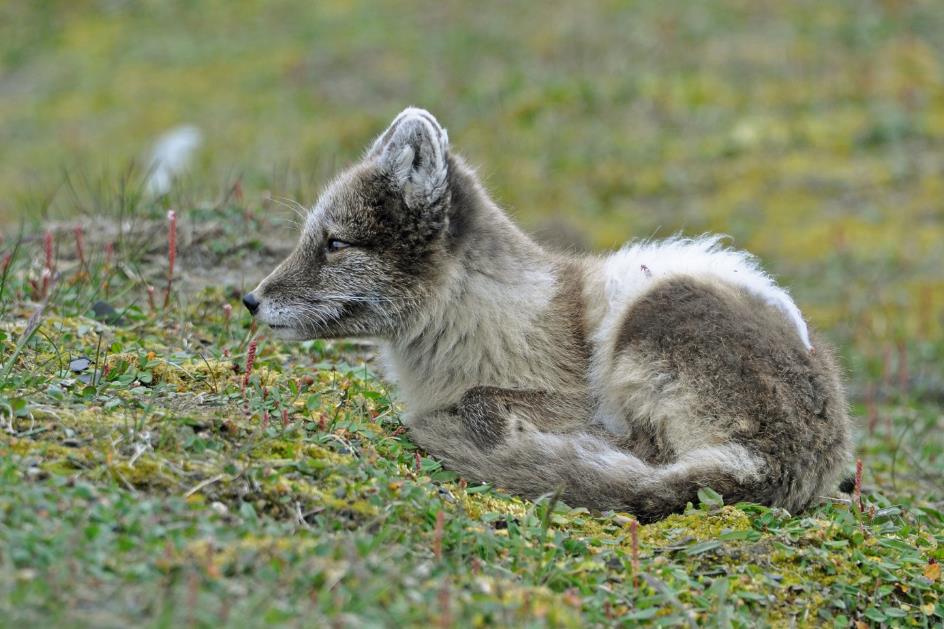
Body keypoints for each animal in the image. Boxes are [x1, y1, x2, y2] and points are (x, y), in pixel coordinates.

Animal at [247, 106, 852, 520]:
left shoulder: (573, 399)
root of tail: (794, 463)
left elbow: (481, 399)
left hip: (651, 315)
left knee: (645, 458)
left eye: (335, 243)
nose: (250, 300)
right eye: (313, 238)